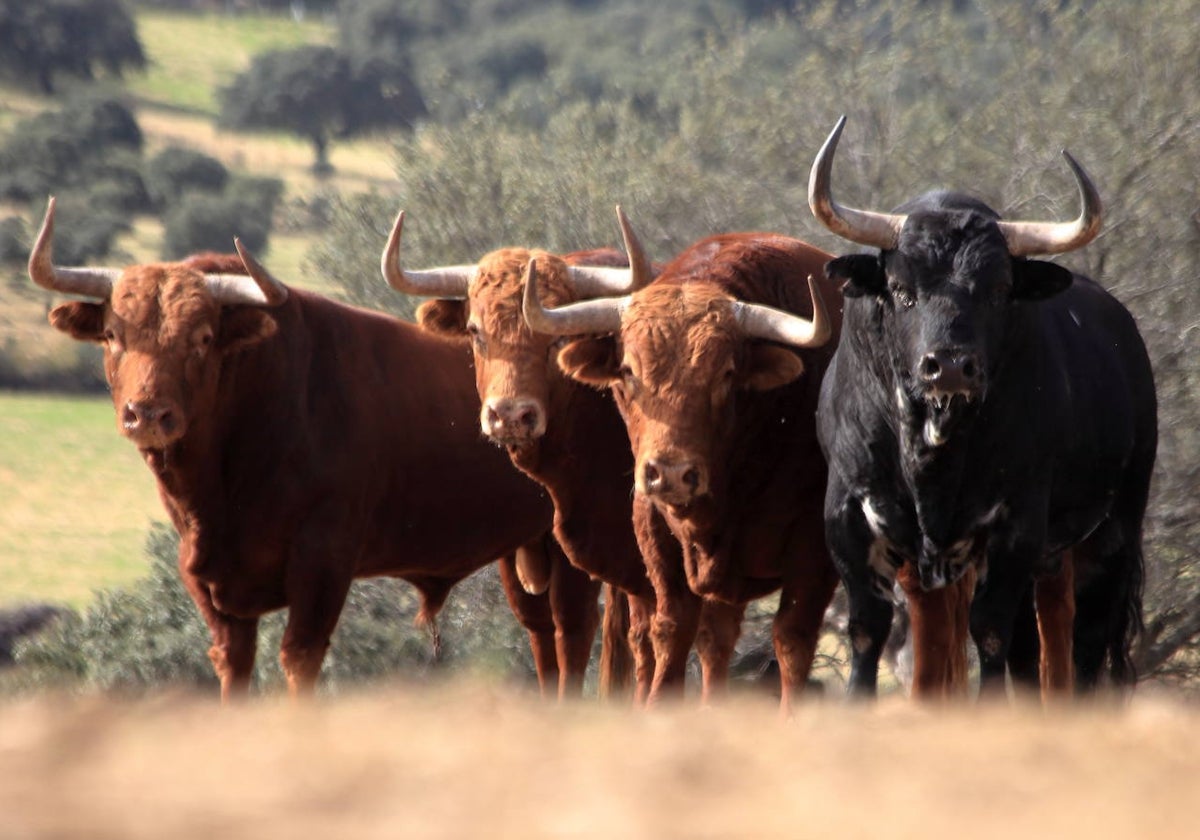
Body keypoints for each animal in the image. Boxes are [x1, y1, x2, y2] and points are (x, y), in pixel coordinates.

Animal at [30, 200, 600, 700]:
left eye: (203, 337)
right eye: (112, 334)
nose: (147, 414)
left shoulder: (323, 562)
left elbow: (299, 660)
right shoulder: (212, 584)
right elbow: (233, 666)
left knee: (574, 636)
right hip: (527, 552)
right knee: (543, 637)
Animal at [525, 214, 844, 710]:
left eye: (726, 374)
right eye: (629, 371)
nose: (672, 474)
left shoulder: (814, 552)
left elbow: (792, 641)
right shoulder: (656, 536)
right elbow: (672, 632)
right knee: (716, 640)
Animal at [811, 116, 1156, 696]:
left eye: (997, 290)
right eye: (900, 288)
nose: (950, 366)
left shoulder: (1016, 526)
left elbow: (991, 631)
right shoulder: (848, 519)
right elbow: (867, 631)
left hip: (1112, 533)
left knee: (1084, 641)